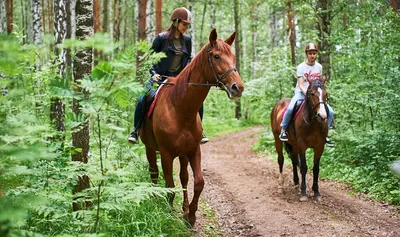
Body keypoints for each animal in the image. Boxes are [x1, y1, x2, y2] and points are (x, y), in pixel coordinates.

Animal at [139, 28, 244, 225]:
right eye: (216, 56)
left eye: (233, 57)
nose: (238, 87)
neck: (180, 108)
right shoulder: (166, 153)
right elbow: (169, 184)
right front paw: (169, 212)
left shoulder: (193, 149)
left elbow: (198, 182)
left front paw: (191, 215)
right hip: (149, 147)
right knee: (154, 172)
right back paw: (155, 197)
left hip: (182, 154)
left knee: (184, 178)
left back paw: (185, 207)